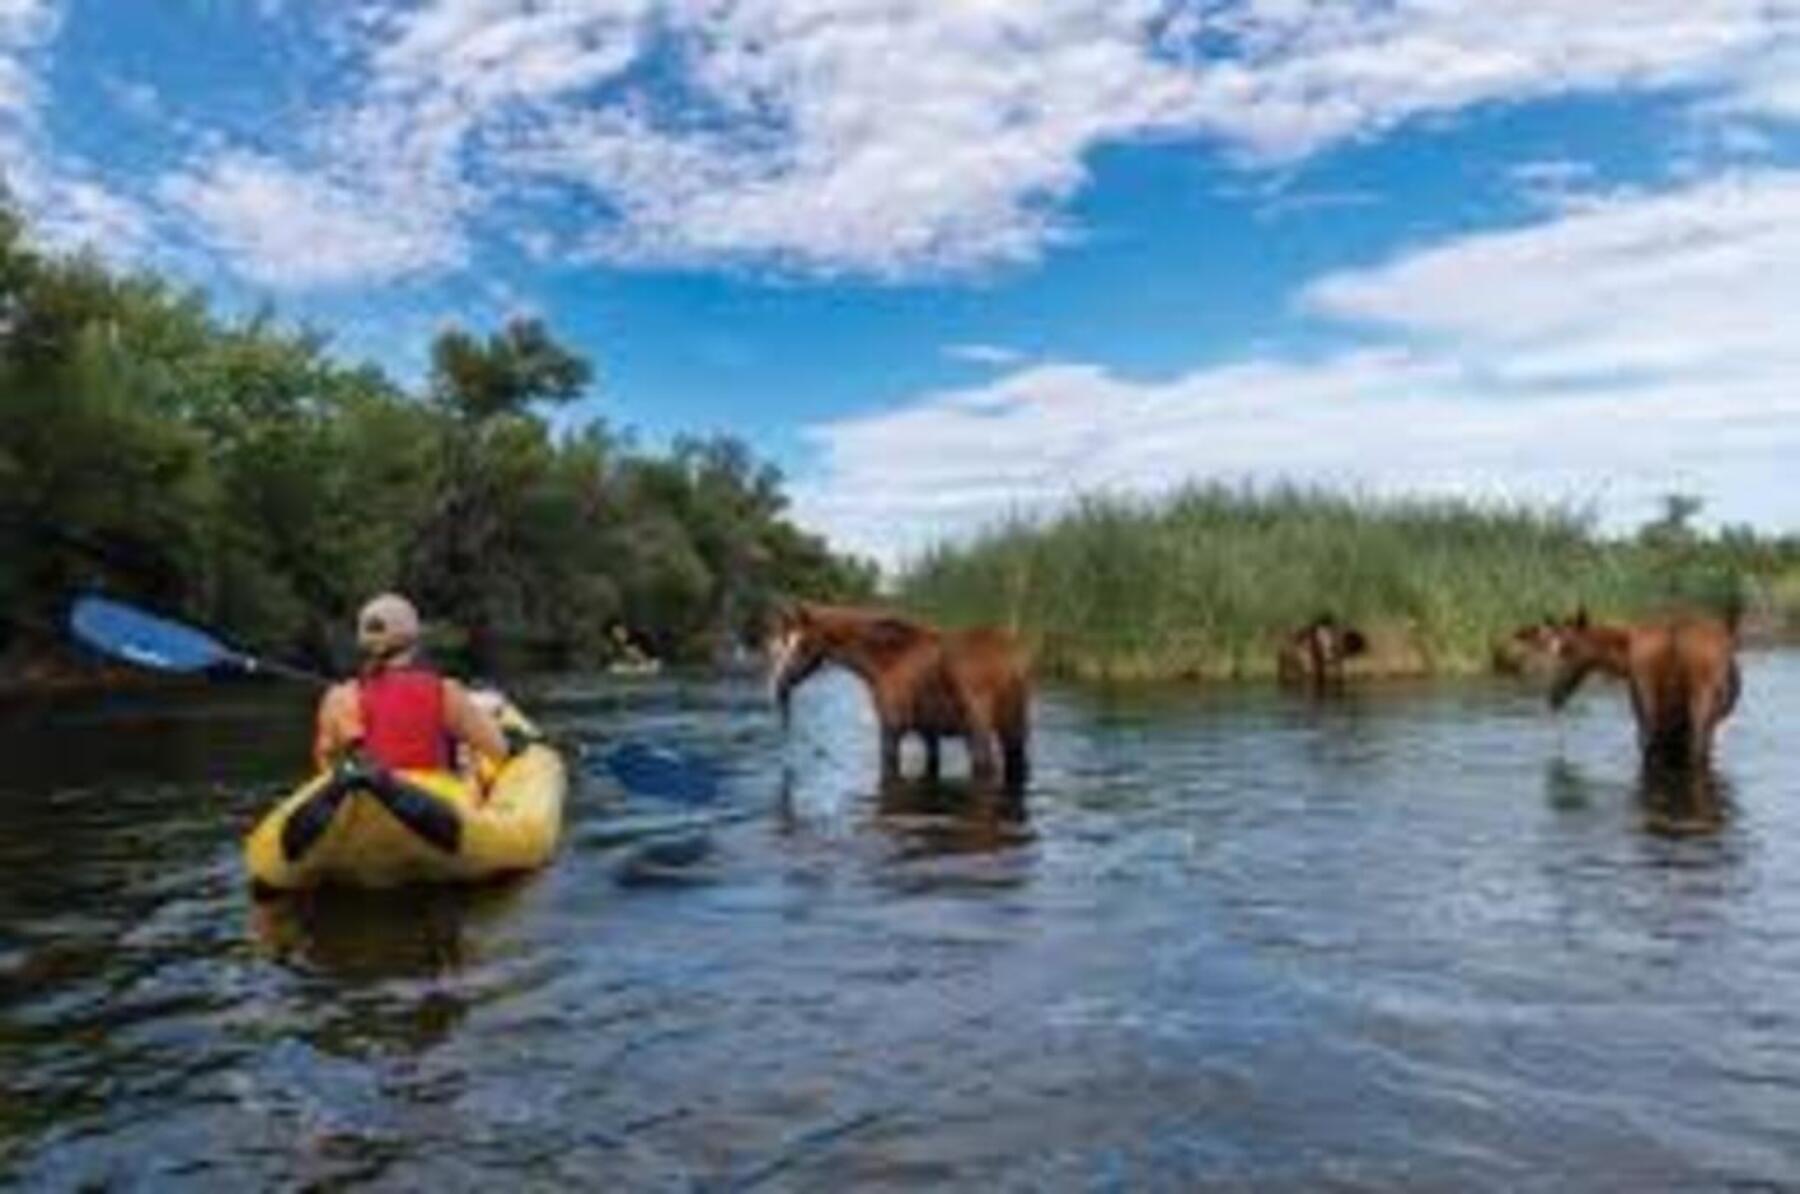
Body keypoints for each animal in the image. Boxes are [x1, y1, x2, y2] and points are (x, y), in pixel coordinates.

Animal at [767, 602, 1031, 793]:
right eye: (782, 643)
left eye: (803, 645)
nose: (779, 687)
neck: (890, 660)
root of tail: (1010, 660)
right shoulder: (929, 733)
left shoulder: (891, 729)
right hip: (1013, 729)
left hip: (980, 732)